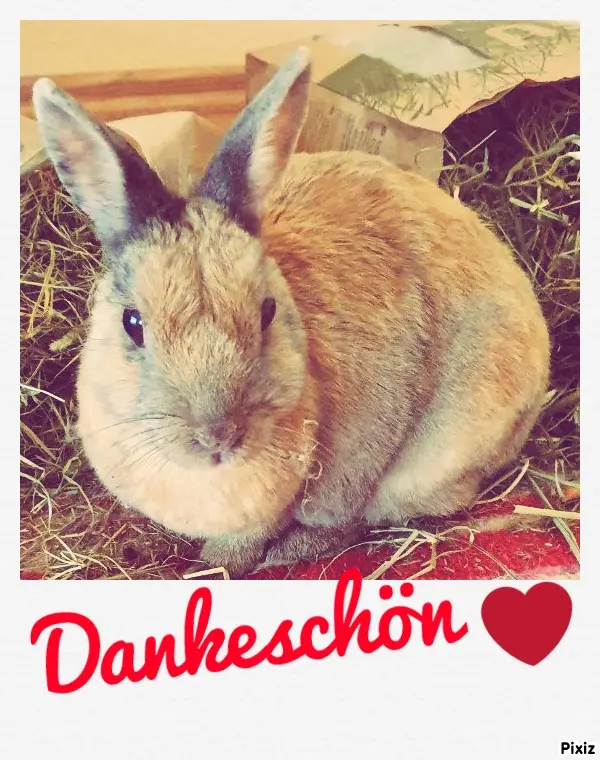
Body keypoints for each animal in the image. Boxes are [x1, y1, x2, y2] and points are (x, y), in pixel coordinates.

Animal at [32, 47, 550, 578]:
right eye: (132, 323)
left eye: (267, 311)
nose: (217, 436)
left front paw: (217, 564)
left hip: (427, 463)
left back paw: (289, 552)